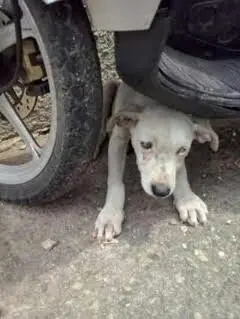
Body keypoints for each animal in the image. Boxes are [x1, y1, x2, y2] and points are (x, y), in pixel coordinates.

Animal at [94, 80, 219, 242]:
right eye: (146, 145)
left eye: (182, 150)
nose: (161, 191)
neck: (154, 100)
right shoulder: (118, 138)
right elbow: (115, 180)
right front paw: (110, 214)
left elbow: (181, 172)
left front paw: (188, 200)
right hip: (109, 87)